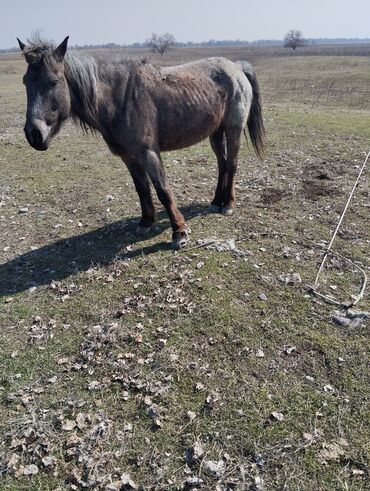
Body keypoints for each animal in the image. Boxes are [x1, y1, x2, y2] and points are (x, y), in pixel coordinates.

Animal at [17, 37, 266, 250]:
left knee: (231, 164)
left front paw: (179, 233)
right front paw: (146, 221)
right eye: (25, 82)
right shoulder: (129, 157)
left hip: (233, 130)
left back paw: (228, 204)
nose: (34, 134)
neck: (119, 99)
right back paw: (216, 201)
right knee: (222, 164)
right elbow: (142, 188)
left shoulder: (148, 153)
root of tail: (236, 67)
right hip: (215, 132)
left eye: (53, 82)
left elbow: (163, 190)